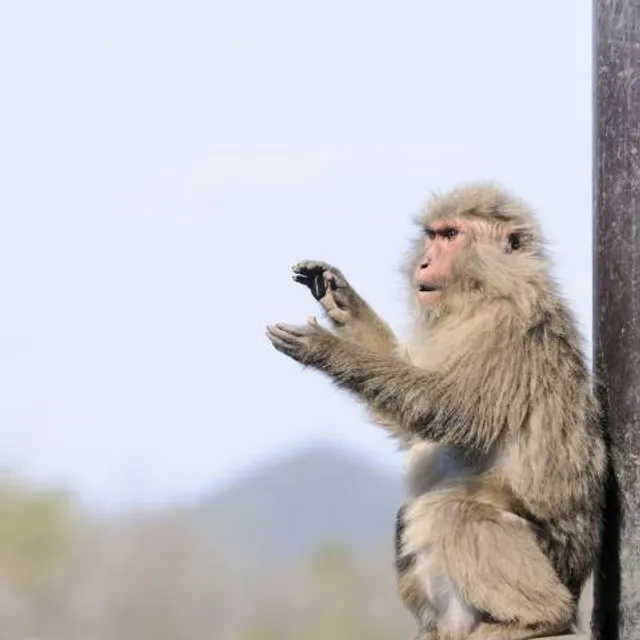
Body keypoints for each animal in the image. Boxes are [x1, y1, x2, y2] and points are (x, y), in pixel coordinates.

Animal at [266, 182, 606, 640]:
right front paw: (341, 298)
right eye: (432, 235)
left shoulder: (504, 327)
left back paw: (540, 617)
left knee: (455, 513)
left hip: (550, 557)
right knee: (412, 516)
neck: (483, 291)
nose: (425, 261)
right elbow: (412, 421)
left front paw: (328, 349)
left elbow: (450, 408)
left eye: (450, 235)